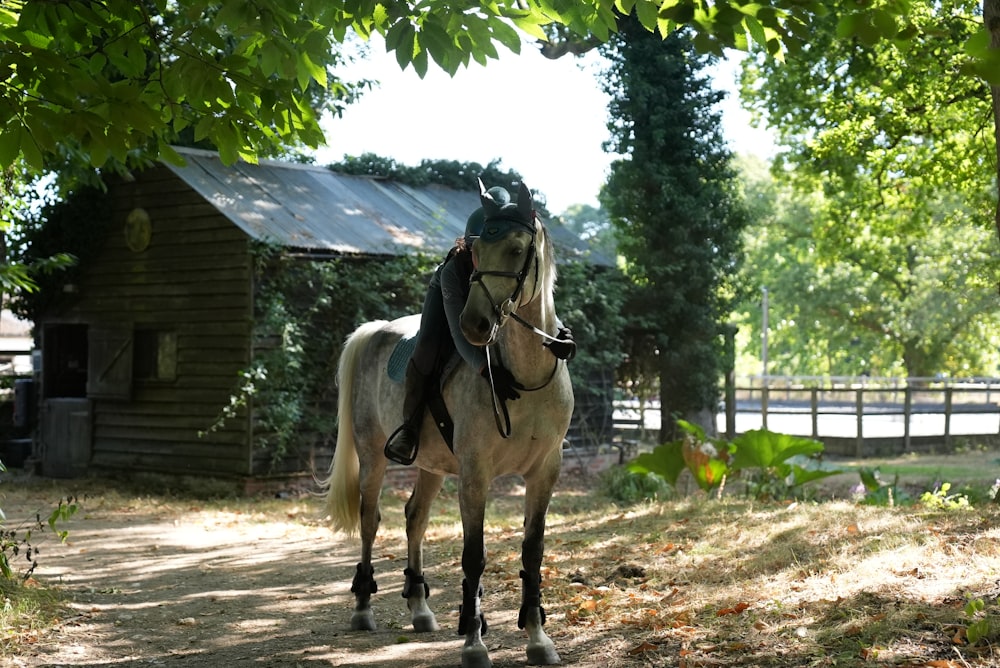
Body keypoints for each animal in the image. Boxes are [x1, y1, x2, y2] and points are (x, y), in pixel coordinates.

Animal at [324, 183, 576, 668]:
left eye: (517, 249)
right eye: (475, 252)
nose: (474, 324)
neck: (526, 379)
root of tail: (376, 330)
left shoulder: (544, 474)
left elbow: (532, 553)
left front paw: (538, 639)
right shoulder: (475, 474)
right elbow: (473, 557)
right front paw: (474, 644)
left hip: (432, 466)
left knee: (414, 519)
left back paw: (420, 608)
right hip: (372, 456)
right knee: (370, 521)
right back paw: (363, 608)